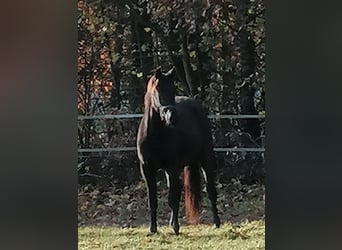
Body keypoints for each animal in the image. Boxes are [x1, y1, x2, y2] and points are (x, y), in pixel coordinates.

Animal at [135, 66, 220, 234]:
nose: (172, 117)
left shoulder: (172, 167)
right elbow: (152, 200)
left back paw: (216, 222)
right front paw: (153, 229)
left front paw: (175, 227)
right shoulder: (147, 169)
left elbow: (172, 198)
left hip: (205, 158)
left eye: (172, 89)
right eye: (158, 90)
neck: (155, 135)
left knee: (210, 190)